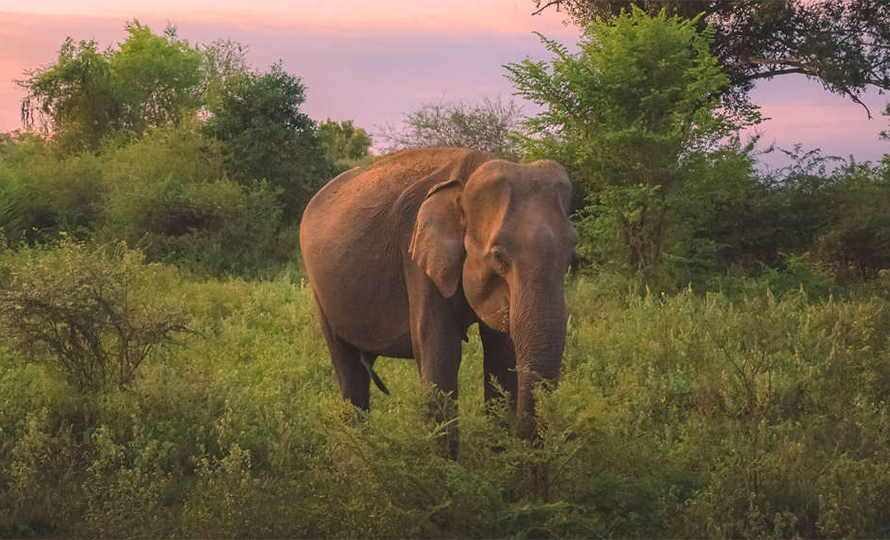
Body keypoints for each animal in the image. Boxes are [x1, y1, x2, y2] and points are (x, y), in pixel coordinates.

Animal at [298, 147, 576, 442]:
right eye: (498, 257)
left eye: (571, 250)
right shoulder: (417, 257)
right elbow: (440, 356)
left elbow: (501, 358)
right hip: (320, 292)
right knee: (348, 371)